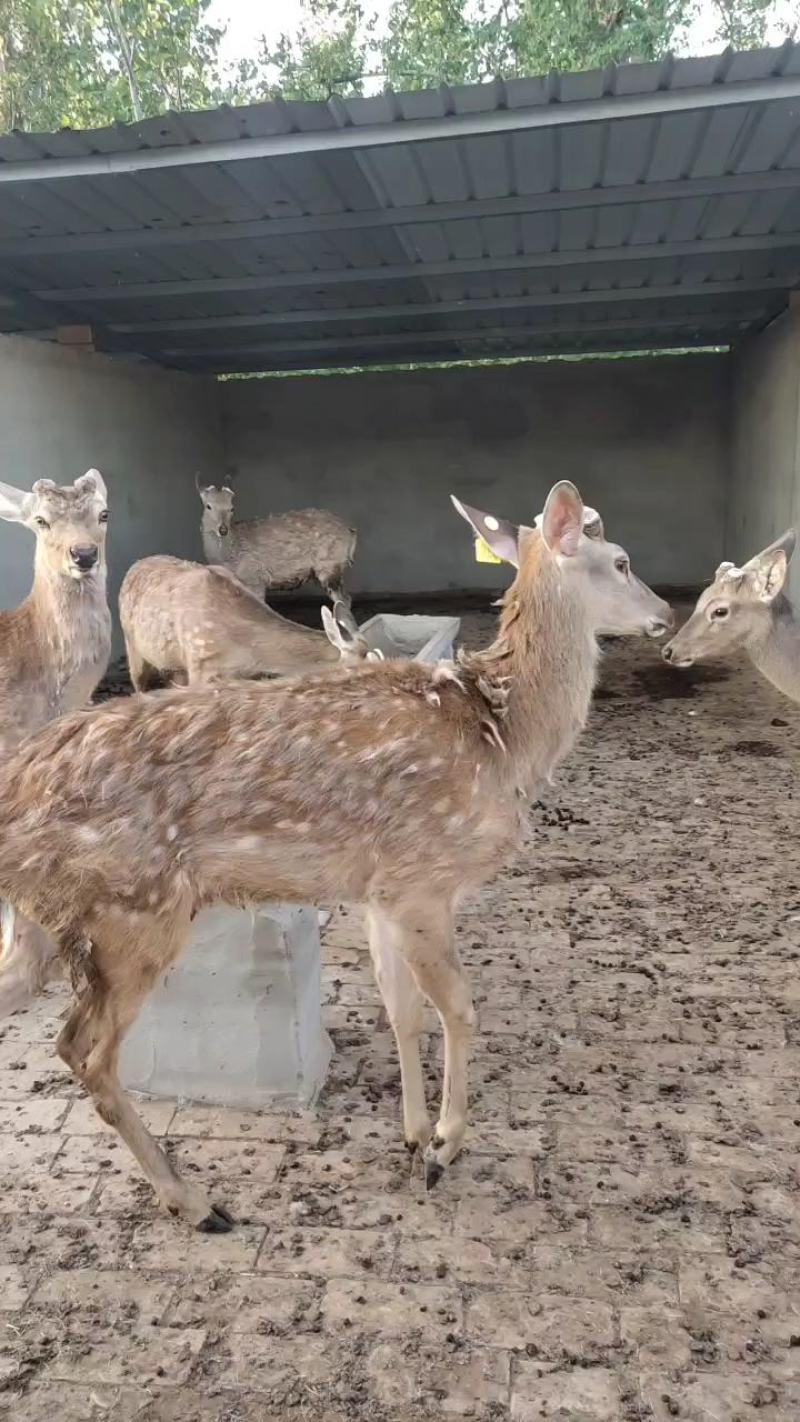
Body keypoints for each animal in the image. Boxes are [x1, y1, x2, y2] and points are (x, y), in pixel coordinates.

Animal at [198, 479, 357, 608]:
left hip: (330, 565)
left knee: (344, 599)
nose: (223, 530)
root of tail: (350, 532)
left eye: (232, 508)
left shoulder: (256, 578)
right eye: (208, 506)